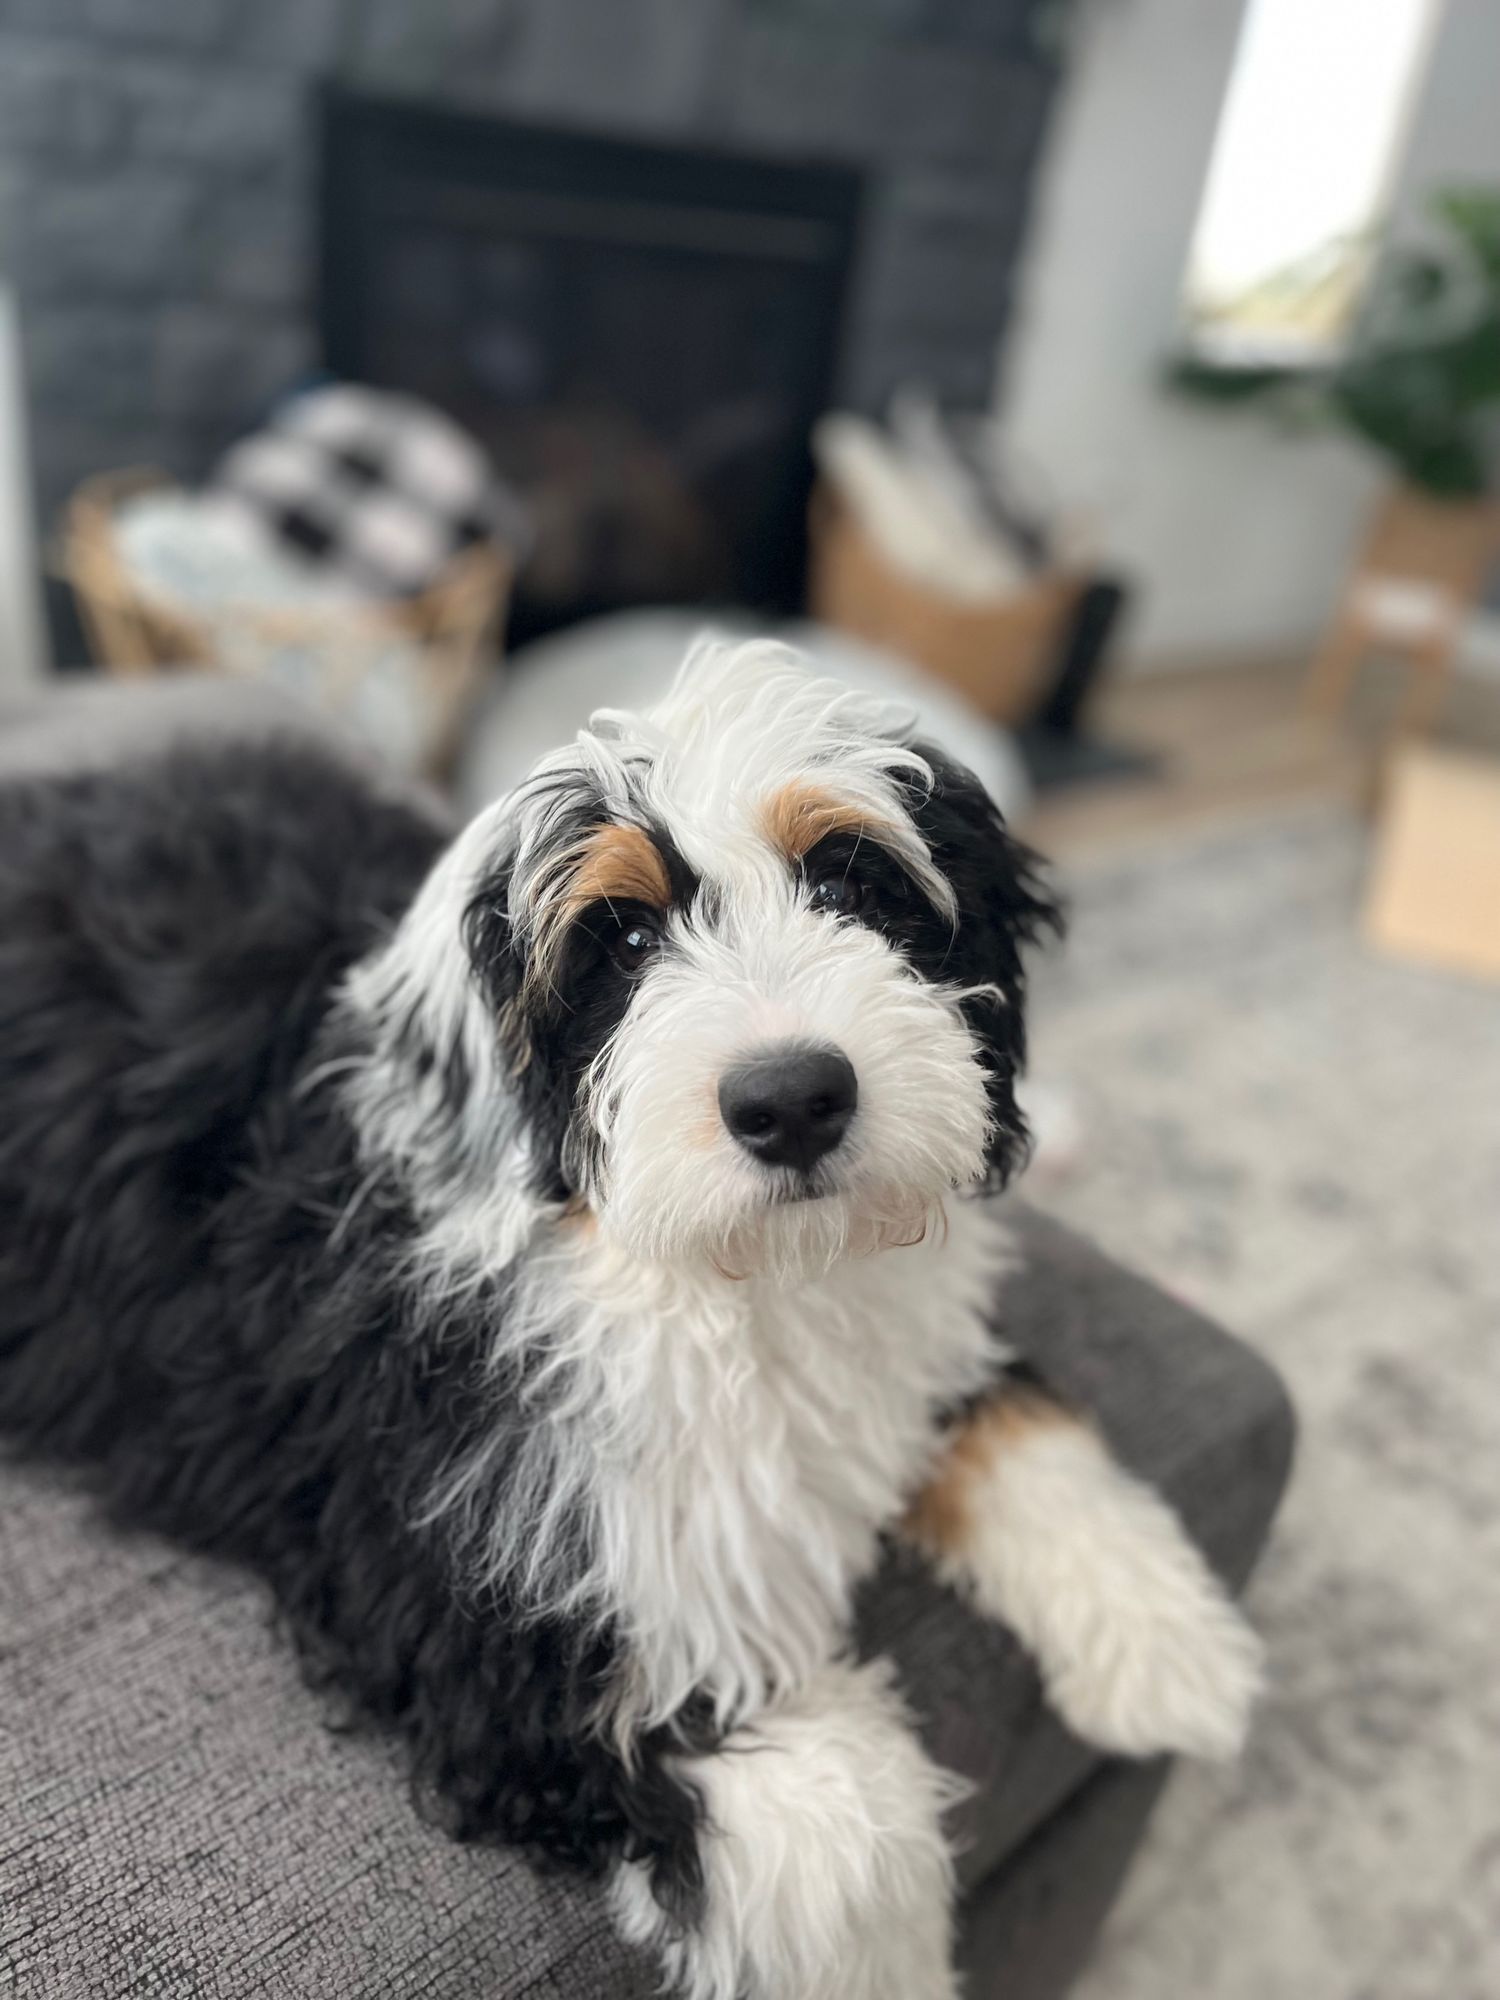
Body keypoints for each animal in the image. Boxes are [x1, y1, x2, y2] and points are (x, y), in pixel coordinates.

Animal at [0, 644, 1272, 2000]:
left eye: (852, 880)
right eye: (620, 936)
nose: (794, 1098)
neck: (716, 1274)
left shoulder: (905, 1346)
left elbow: (1005, 1416)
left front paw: (1169, 1638)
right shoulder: (492, 1623)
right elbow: (850, 1833)